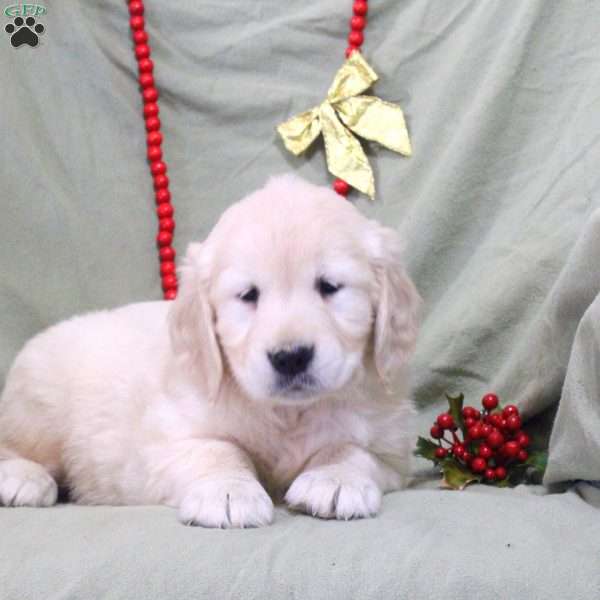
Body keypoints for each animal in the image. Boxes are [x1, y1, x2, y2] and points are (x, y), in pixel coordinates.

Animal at [0, 172, 420, 524]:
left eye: (330, 287)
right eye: (248, 295)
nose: (290, 357)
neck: (287, 415)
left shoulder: (392, 448)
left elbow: (354, 450)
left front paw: (333, 479)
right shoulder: (170, 439)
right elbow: (217, 449)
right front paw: (230, 492)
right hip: (36, 410)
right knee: (13, 446)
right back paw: (23, 478)